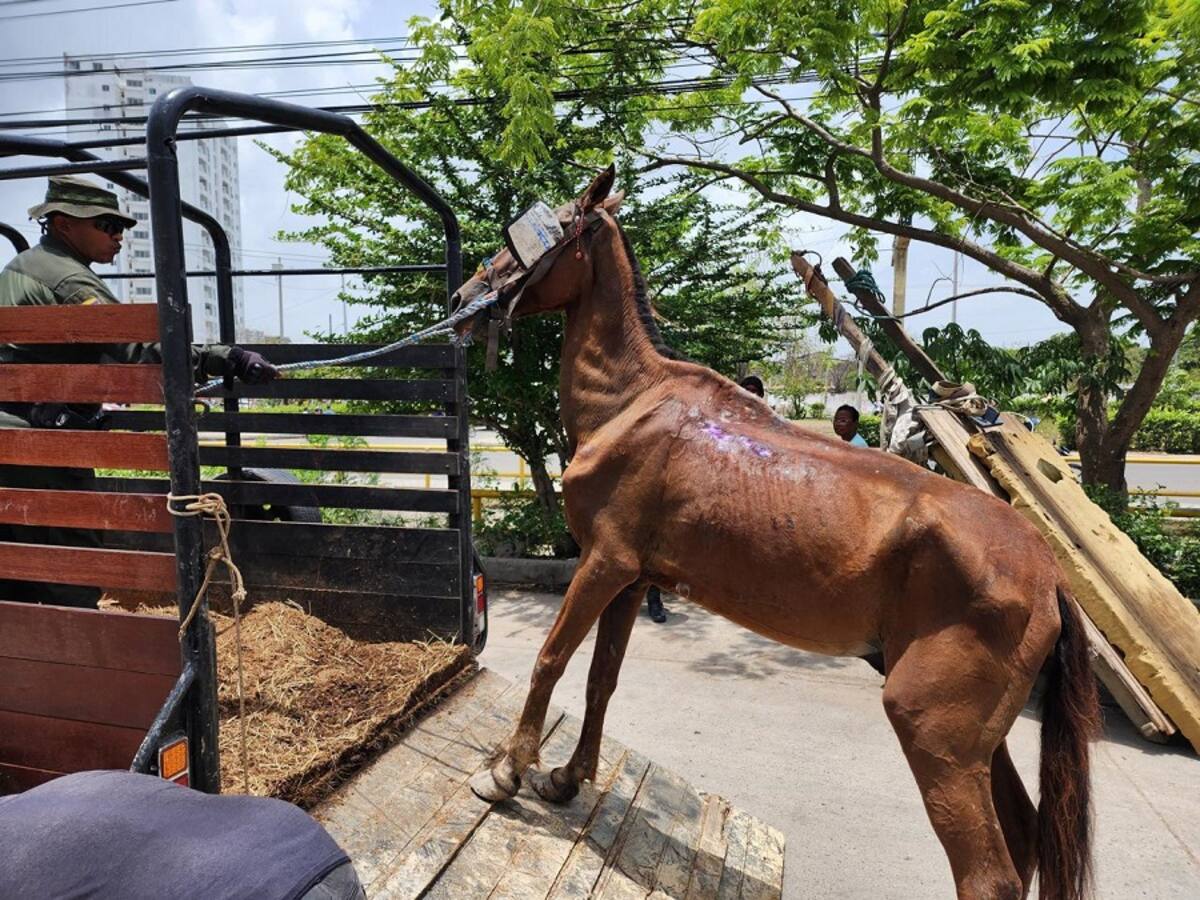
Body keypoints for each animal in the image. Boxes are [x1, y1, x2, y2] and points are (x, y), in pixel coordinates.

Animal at [451, 165, 1100, 900]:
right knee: (1024, 837)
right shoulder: (631, 577)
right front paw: (566, 778)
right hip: (978, 745)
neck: (633, 403)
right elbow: (601, 679)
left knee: (988, 875)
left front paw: (507, 772)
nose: (466, 297)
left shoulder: (603, 563)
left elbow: (551, 661)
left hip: (934, 733)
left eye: (539, 233)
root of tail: (1049, 576)